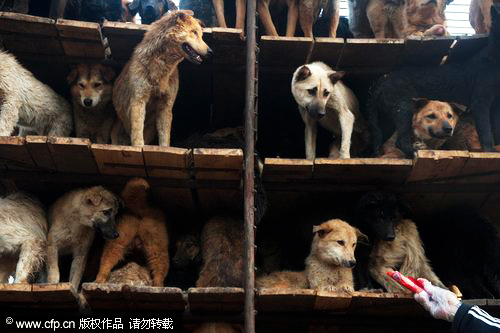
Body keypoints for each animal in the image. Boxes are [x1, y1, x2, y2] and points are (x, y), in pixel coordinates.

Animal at [112, 10, 212, 145]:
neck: (161, 68)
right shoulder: (138, 100)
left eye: (201, 35)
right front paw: (138, 147)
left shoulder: (166, 105)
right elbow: (137, 134)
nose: (210, 52)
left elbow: (165, 137)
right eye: (194, 32)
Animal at [366, 3, 500, 157]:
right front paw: (489, 152)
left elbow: (496, 129)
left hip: (385, 121)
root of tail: (380, 82)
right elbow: (486, 131)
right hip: (403, 109)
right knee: (401, 141)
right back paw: (417, 151)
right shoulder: (480, 103)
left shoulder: (496, 106)